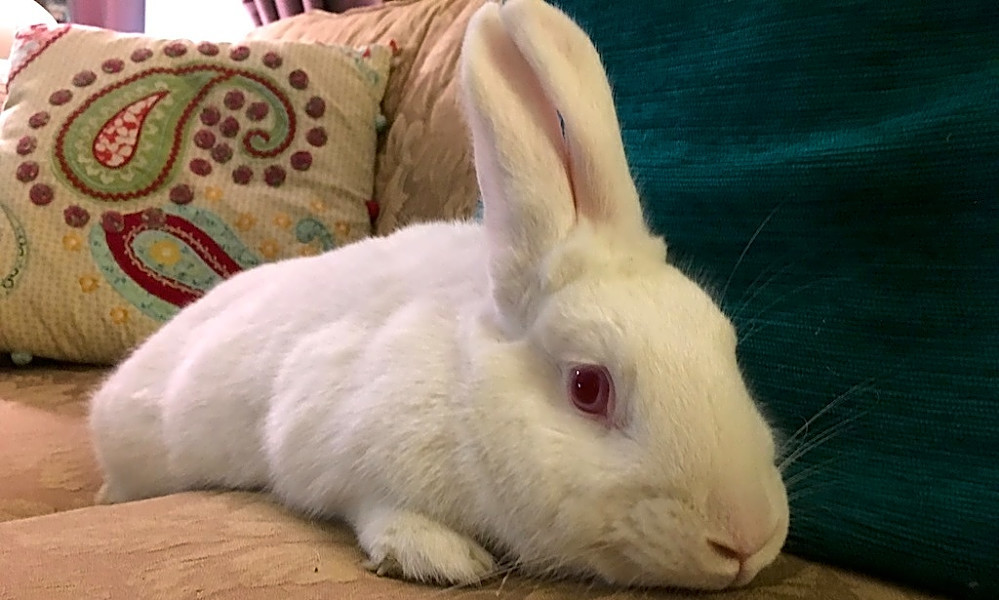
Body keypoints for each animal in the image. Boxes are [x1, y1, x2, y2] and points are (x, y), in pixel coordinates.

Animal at [88, 0, 789, 591]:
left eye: (727, 347)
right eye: (588, 387)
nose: (745, 539)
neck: (467, 386)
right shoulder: (326, 433)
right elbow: (366, 501)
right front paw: (438, 554)